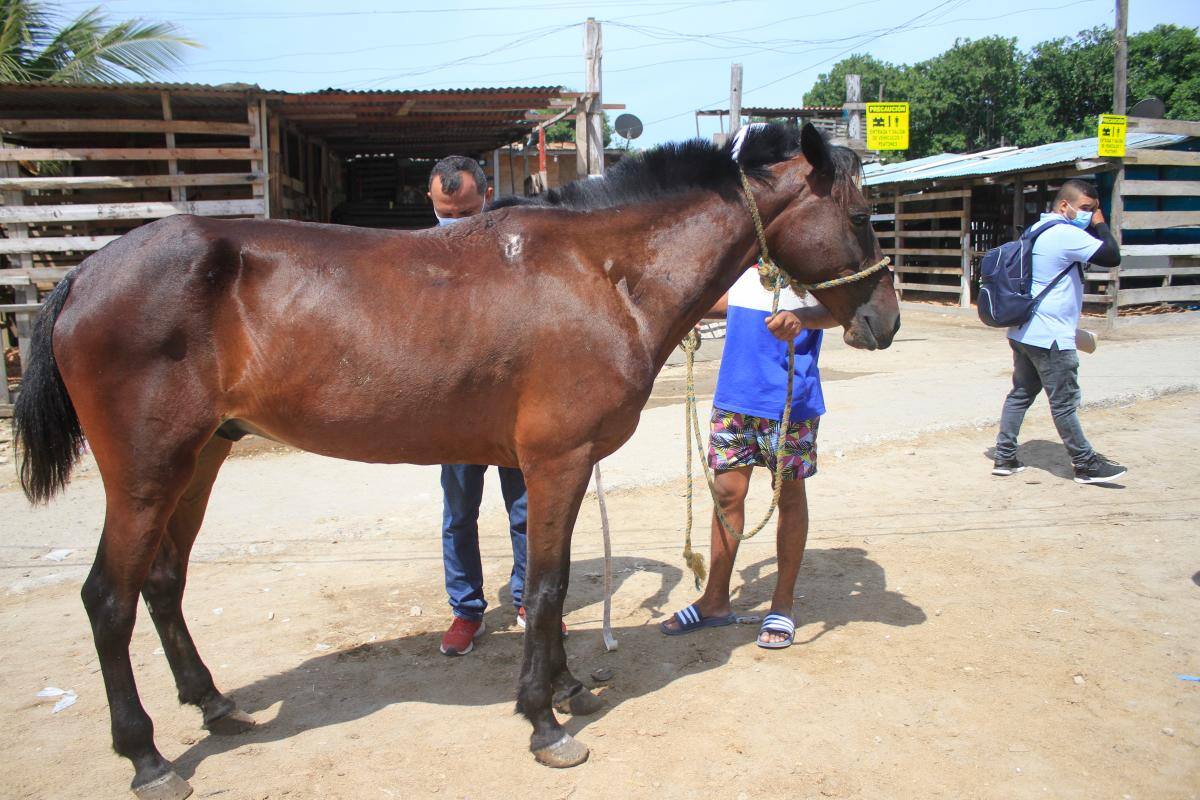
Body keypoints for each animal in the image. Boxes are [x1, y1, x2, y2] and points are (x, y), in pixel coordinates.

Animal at [13, 122, 898, 800]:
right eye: (861, 213)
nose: (885, 320)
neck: (602, 275)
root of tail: (86, 271)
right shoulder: (558, 460)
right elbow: (545, 586)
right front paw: (544, 720)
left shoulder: (556, 466)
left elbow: (549, 576)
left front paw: (568, 689)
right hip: (146, 472)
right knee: (108, 600)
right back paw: (149, 757)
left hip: (199, 460)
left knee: (163, 584)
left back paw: (213, 704)